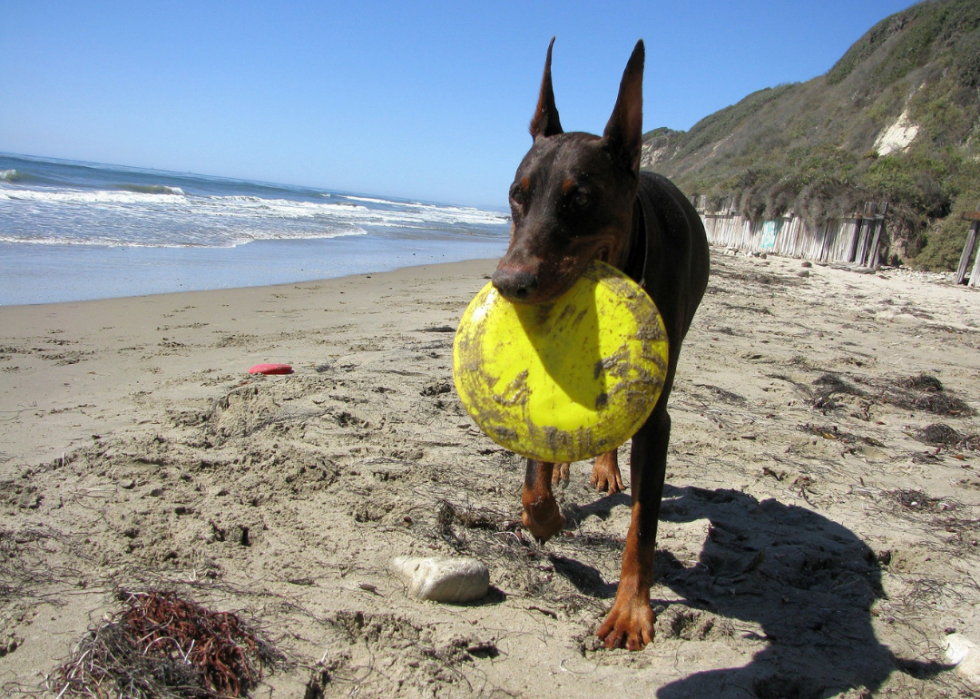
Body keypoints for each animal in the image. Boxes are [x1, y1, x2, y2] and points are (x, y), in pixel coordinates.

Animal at [494, 38, 708, 652]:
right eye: (516, 195)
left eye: (580, 199)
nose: (509, 283)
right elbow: (532, 486)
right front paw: (546, 517)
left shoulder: (657, 417)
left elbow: (643, 526)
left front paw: (631, 611)